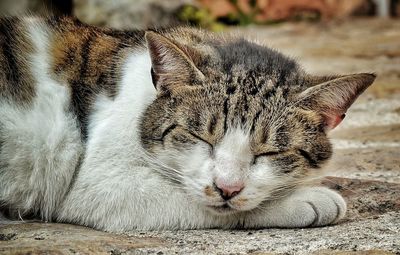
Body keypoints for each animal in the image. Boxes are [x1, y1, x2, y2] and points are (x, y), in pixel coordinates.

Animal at [0, 15, 376, 231]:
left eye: (269, 153)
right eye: (201, 138)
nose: (228, 188)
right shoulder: (97, 183)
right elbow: (201, 204)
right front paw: (301, 201)